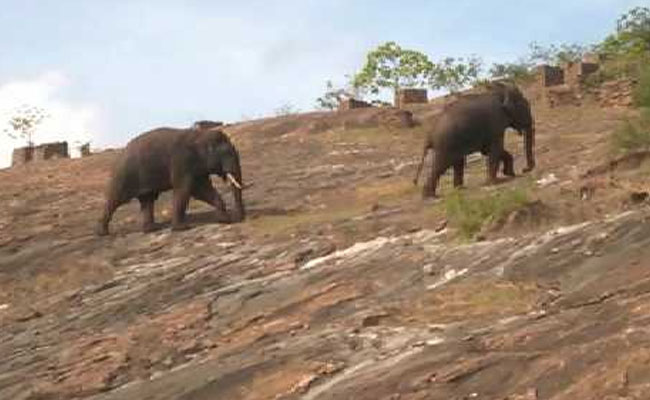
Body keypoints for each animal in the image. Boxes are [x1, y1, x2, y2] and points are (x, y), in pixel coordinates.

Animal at [95, 127, 246, 235]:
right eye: (227, 153)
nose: (239, 219)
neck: (201, 135)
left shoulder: (197, 168)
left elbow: (202, 190)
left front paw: (224, 220)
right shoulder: (182, 162)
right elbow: (185, 190)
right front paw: (182, 228)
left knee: (147, 200)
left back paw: (151, 229)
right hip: (124, 175)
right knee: (116, 199)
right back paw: (103, 233)